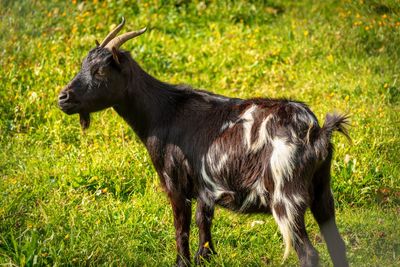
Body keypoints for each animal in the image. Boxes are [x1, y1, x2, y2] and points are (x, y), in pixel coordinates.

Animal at [57, 17, 348, 266]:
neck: (164, 112)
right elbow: (203, 231)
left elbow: (182, 230)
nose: (63, 97)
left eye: (100, 71)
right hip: (322, 191)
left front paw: (181, 262)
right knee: (337, 244)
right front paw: (204, 256)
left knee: (308, 254)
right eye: (83, 66)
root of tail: (316, 132)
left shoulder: (176, 185)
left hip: (286, 197)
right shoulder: (204, 192)